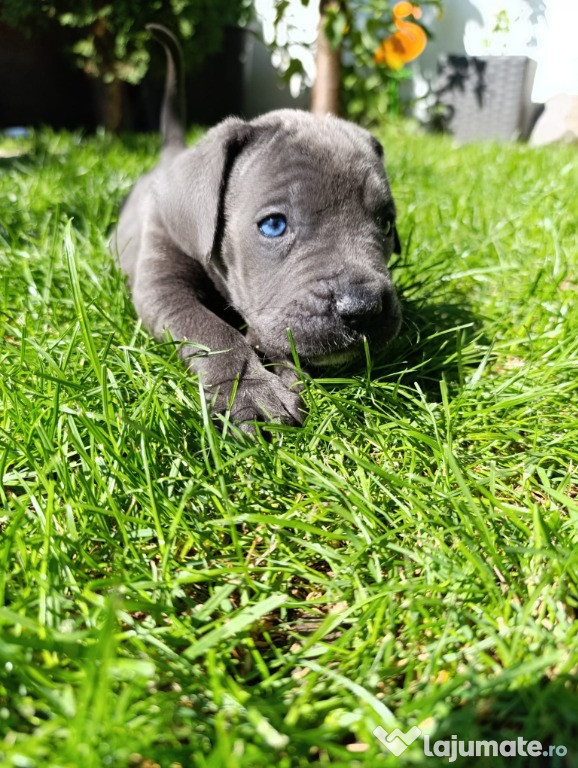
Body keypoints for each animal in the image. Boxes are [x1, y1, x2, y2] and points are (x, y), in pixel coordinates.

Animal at [113, 25, 400, 432]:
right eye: (274, 225)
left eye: (386, 223)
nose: (364, 307)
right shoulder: (162, 289)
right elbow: (210, 330)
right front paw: (250, 392)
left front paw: (282, 369)